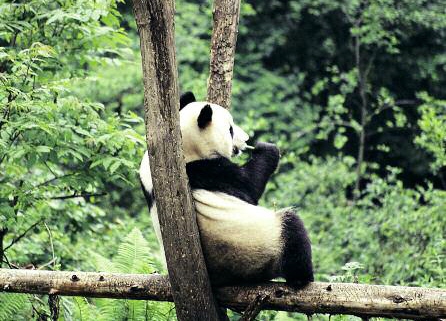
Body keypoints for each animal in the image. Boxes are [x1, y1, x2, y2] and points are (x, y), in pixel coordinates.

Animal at [139, 90, 314, 284]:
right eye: (230, 129)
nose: (246, 139)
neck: (184, 145)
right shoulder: (208, 171)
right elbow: (250, 185)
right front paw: (266, 148)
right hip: (253, 248)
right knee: (291, 229)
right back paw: (302, 277)